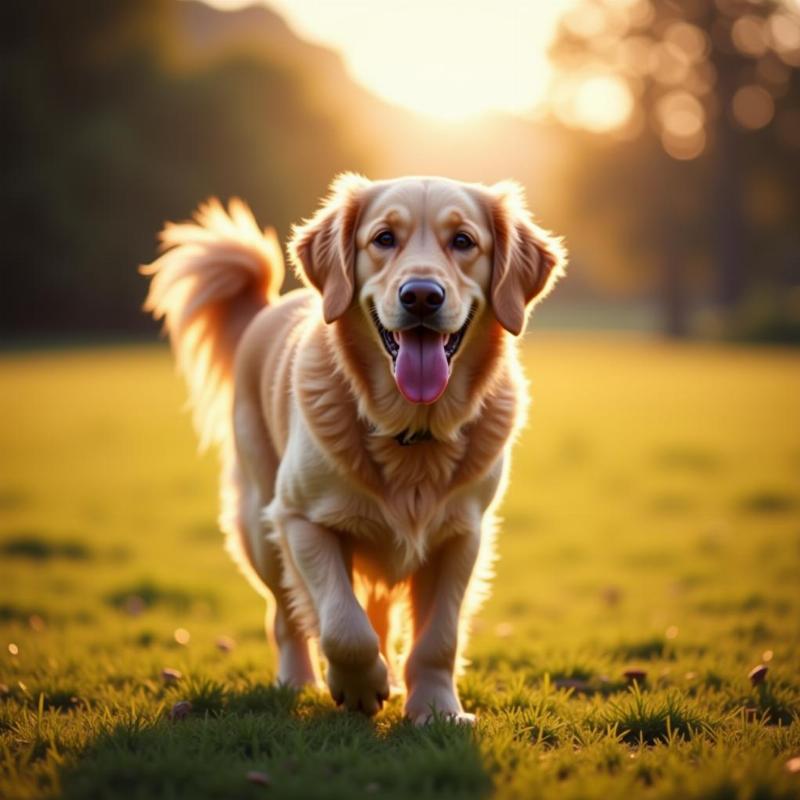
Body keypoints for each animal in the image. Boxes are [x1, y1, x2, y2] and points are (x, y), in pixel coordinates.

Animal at [145, 175, 568, 724]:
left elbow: (439, 637)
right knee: (286, 615)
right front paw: (361, 686)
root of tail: (269, 306)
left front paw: (437, 709)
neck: (411, 432)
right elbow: (344, 626)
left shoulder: (463, 535)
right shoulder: (300, 520)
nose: (422, 296)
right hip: (260, 525)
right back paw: (296, 680)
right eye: (383, 238)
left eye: (464, 241)